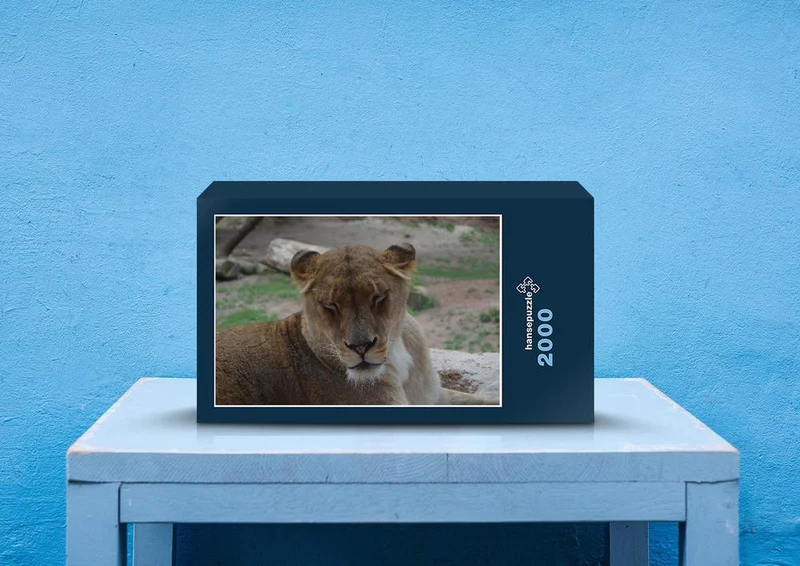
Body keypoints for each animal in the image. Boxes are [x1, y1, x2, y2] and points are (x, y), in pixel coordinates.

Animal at [215, 242, 498, 406]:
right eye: (330, 305)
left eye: (379, 297)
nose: (360, 347)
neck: (399, 355)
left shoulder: (434, 396)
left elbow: (482, 399)